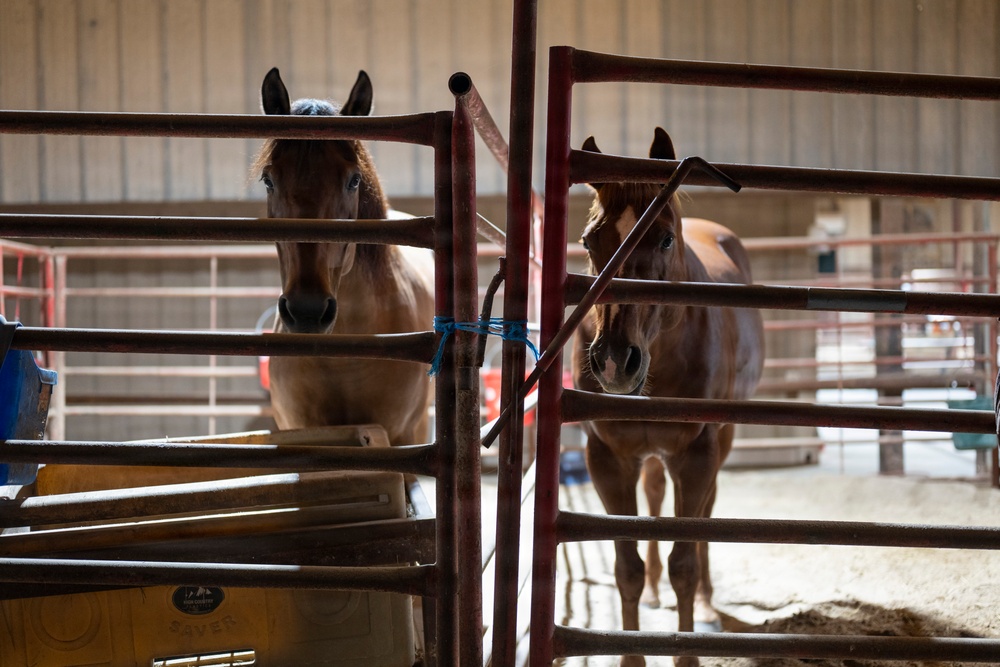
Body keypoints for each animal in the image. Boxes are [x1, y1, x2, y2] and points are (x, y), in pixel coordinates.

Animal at [571, 128, 765, 667]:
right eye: (590, 240)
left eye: (664, 237)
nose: (614, 361)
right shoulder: (608, 458)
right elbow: (627, 567)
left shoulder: (695, 455)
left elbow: (685, 561)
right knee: (656, 499)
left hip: (719, 440)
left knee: (705, 518)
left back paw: (707, 604)